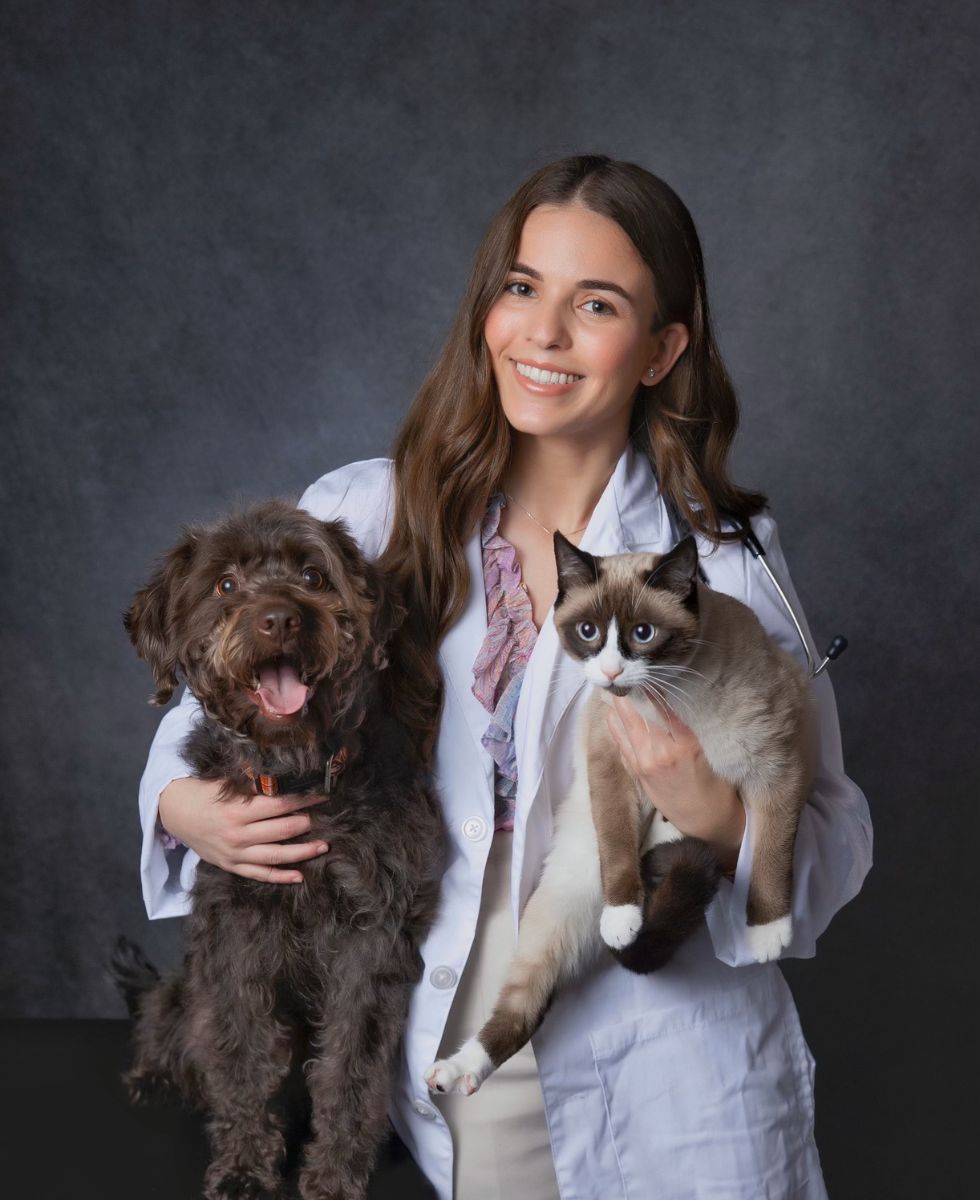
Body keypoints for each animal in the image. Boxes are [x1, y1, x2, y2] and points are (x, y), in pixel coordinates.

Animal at [424, 535, 815, 1099]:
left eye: (643, 634)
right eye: (588, 632)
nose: (610, 673)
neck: (670, 699)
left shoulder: (778, 769)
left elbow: (771, 852)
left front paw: (767, 933)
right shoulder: (609, 760)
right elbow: (615, 842)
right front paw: (623, 914)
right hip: (560, 905)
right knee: (522, 1009)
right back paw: (458, 1071)